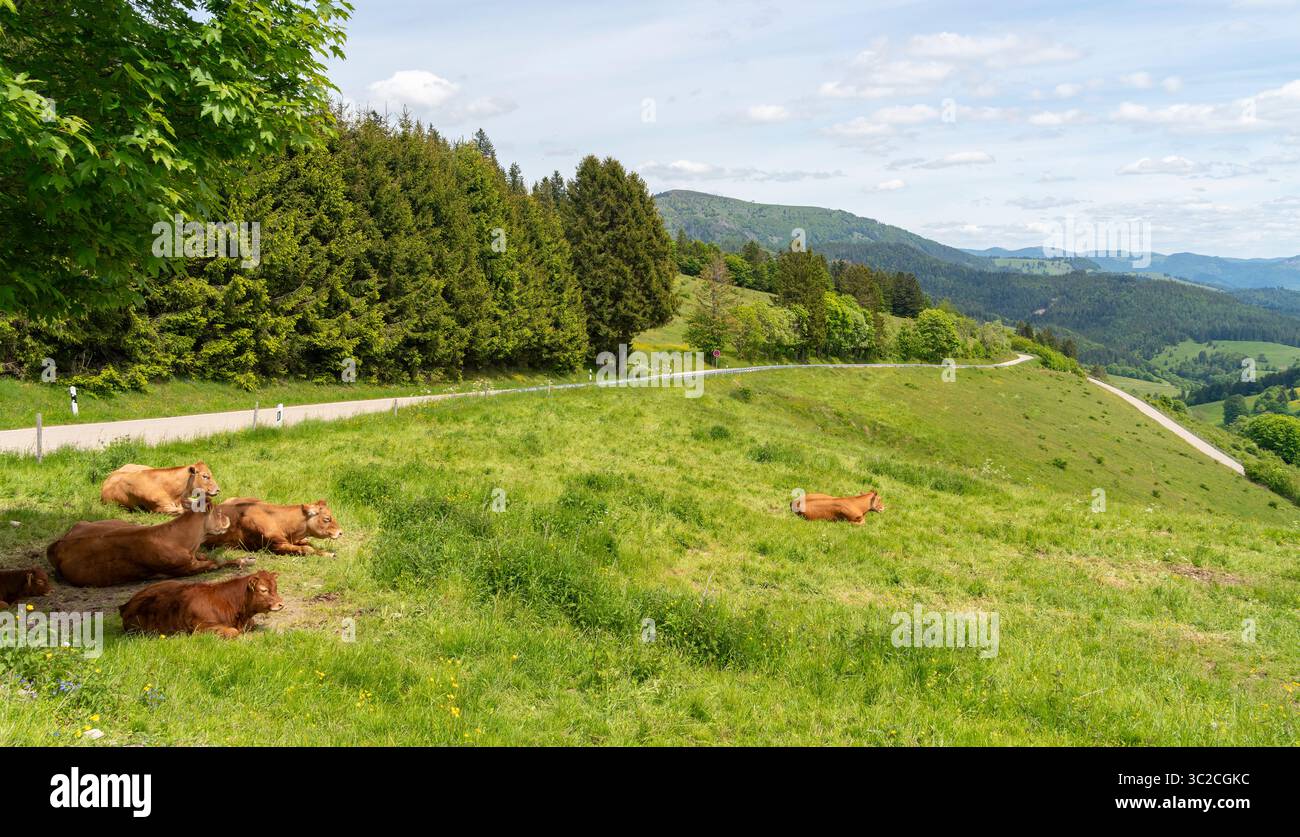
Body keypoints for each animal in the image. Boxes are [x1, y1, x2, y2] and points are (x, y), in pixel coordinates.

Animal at [47, 503, 242, 587]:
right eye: (217, 512)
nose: (227, 518)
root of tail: (57, 543)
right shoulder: (185, 568)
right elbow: (214, 563)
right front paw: (240, 561)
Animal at [120, 570, 284, 638]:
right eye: (263, 590)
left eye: (276, 587)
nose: (281, 604)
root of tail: (126, 605)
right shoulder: (202, 626)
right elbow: (233, 632)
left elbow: (252, 624)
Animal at [204, 498, 344, 556]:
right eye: (327, 518)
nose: (341, 532)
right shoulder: (276, 545)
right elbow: (307, 549)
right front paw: (328, 554)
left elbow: (308, 544)